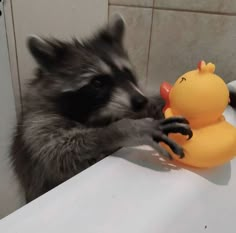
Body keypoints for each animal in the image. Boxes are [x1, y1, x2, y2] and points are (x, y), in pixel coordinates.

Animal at [10, 15, 193, 203]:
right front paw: (123, 129)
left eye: (127, 73)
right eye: (98, 83)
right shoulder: (37, 125)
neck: (97, 115)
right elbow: (60, 156)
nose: (141, 101)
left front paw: (160, 102)